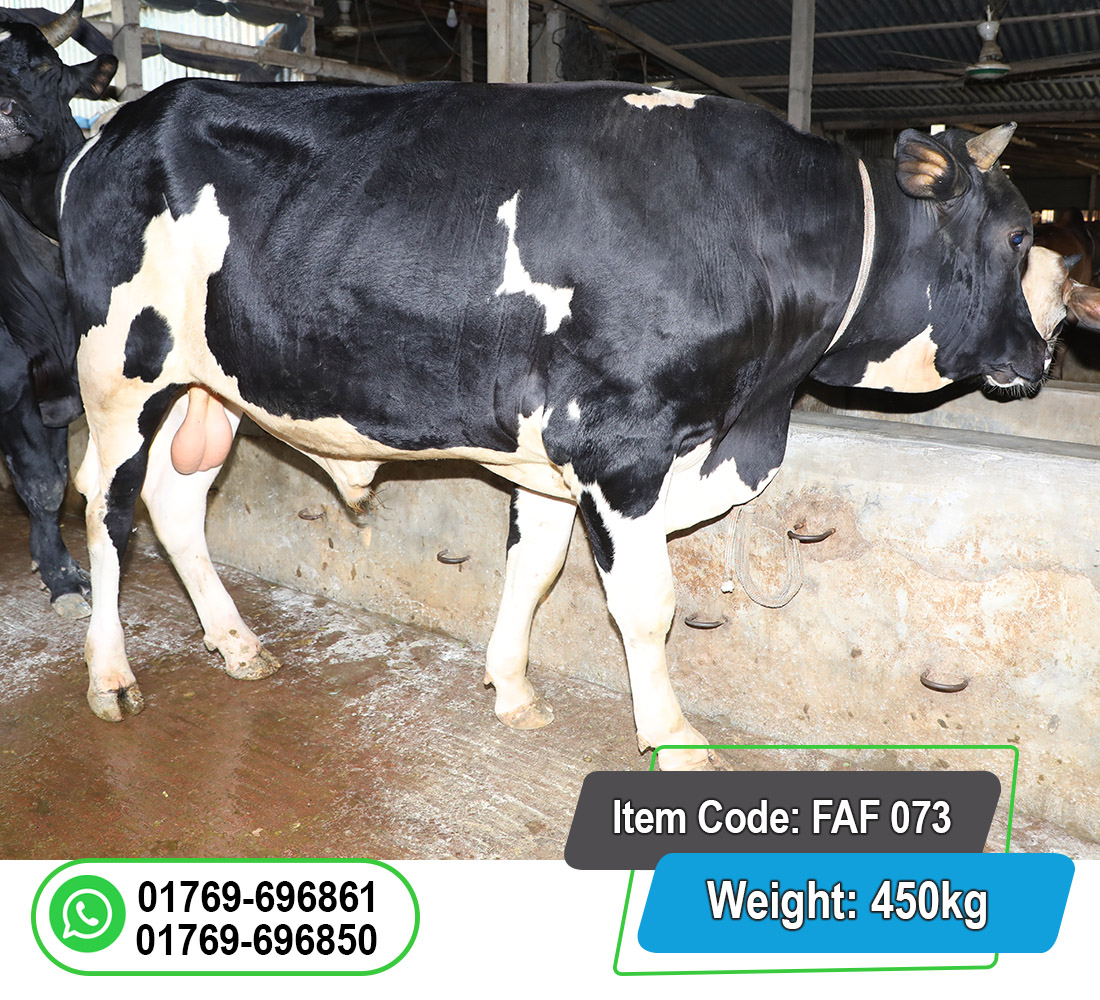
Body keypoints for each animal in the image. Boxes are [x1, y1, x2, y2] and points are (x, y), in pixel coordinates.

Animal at [58, 78, 1066, 769]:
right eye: (1019, 236)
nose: (1049, 345)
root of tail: (123, 118)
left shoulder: (553, 449)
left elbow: (534, 570)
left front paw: (511, 688)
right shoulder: (618, 445)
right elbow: (647, 606)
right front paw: (673, 737)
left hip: (208, 386)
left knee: (176, 501)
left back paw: (237, 647)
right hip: (117, 370)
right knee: (106, 506)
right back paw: (110, 677)